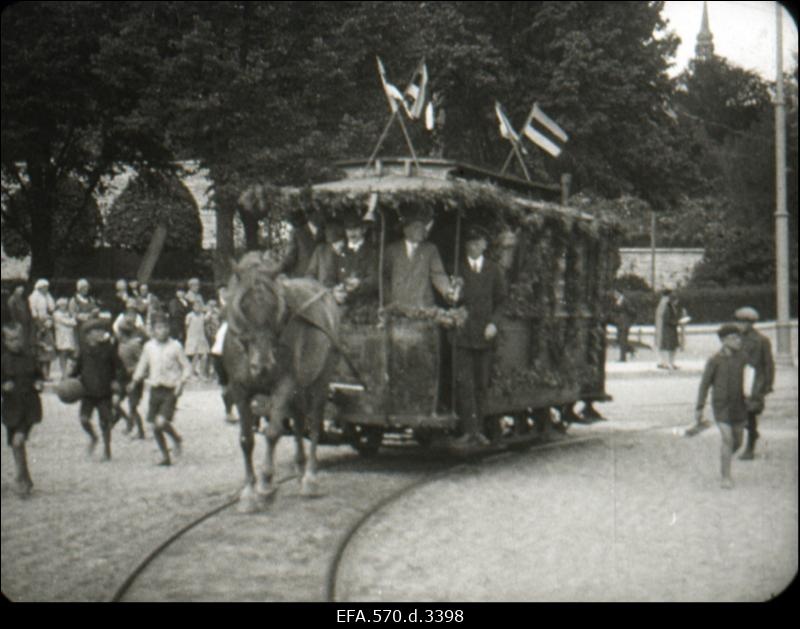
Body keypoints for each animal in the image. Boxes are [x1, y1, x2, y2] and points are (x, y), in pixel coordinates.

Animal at [222, 251, 340, 510]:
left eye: (275, 306)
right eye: (242, 306)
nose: (263, 366)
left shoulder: (285, 384)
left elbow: (273, 432)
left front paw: (266, 485)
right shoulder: (239, 389)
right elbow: (246, 439)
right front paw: (248, 492)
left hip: (321, 377)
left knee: (314, 420)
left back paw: (310, 477)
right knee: (298, 419)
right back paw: (299, 467)